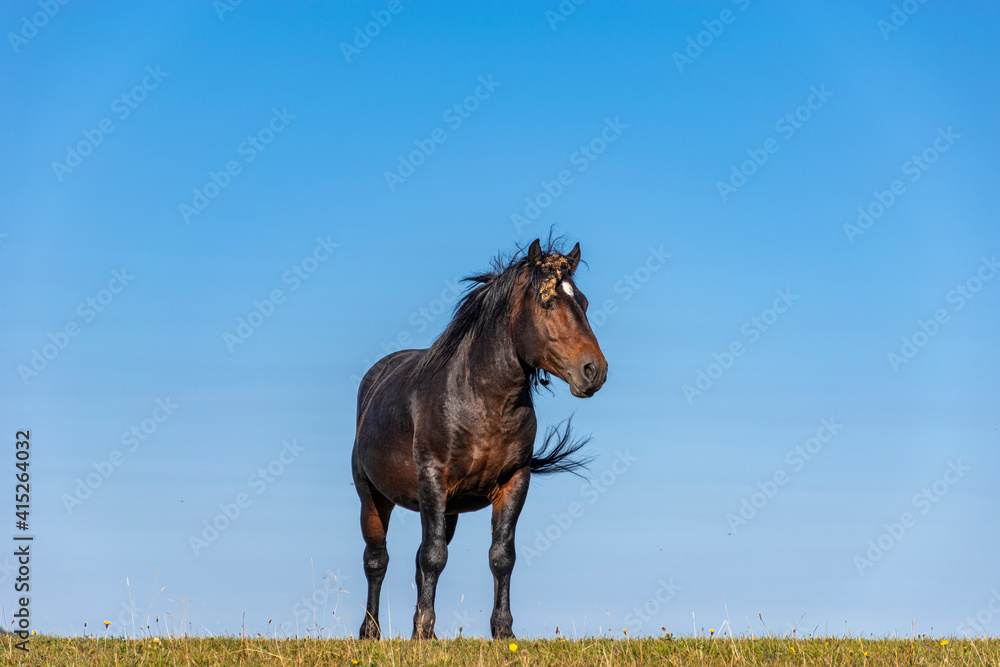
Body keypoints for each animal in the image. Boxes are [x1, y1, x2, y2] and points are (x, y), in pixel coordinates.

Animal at [351, 238, 608, 640]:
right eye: (546, 302)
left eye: (582, 303)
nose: (594, 370)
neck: (481, 400)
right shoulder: (432, 479)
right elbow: (433, 557)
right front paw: (425, 632)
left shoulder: (514, 480)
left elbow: (500, 557)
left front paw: (502, 631)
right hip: (373, 496)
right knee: (377, 560)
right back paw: (370, 632)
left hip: (449, 510)